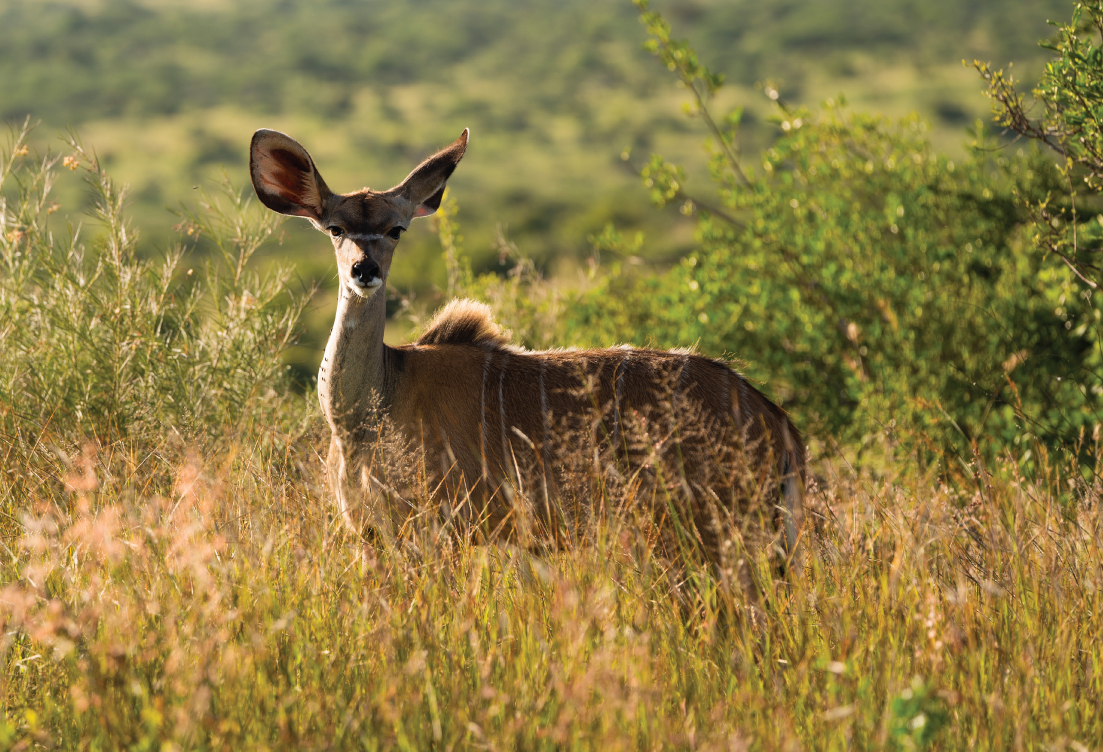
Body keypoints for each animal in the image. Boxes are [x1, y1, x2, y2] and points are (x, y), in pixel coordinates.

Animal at [245, 129, 807, 560]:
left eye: (396, 229)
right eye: (335, 228)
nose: (365, 271)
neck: (370, 408)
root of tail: (778, 423)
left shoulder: (441, 529)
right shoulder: (370, 534)